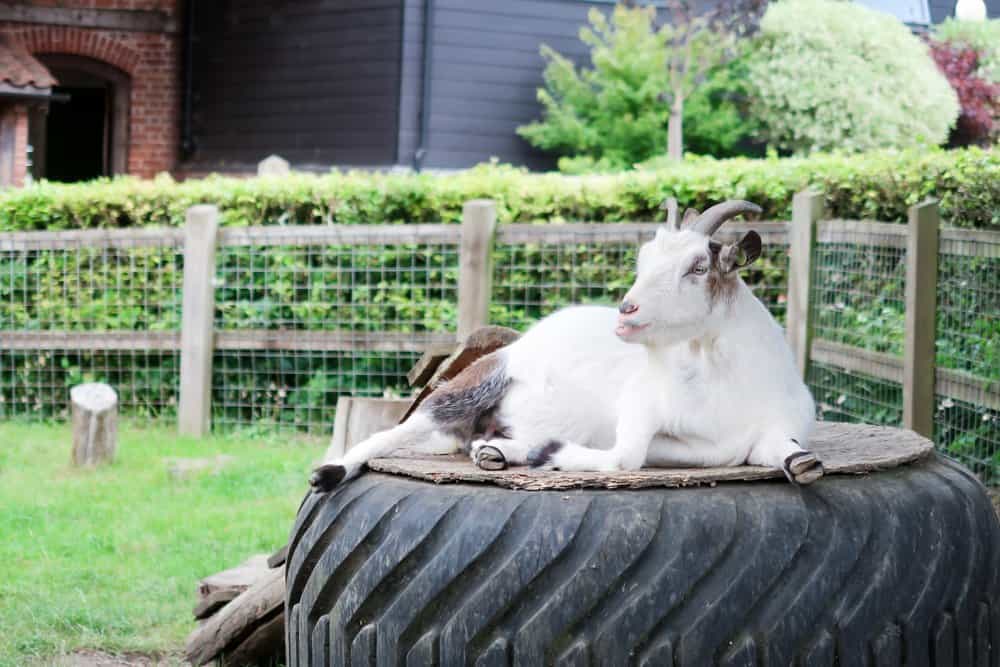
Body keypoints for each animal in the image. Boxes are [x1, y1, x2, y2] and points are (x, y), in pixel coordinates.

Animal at [310, 201, 820, 494]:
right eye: (643, 260)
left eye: (697, 267)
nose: (627, 310)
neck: (720, 386)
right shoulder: (638, 407)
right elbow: (626, 456)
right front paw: (551, 453)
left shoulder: (771, 427)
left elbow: (792, 458)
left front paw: (801, 462)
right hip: (482, 378)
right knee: (397, 429)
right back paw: (329, 472)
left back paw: (497, 451)